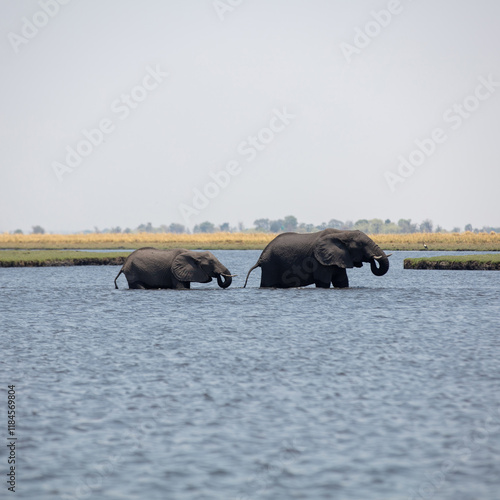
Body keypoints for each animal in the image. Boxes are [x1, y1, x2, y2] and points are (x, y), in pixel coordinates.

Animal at [242, 228, 390, 288]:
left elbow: (342, 282)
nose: (371, 258)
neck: (343, 233)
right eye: (361, 245)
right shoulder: (319, 261)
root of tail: (260, 258)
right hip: (271, 266)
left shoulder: (338, 258)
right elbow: (323, 282)